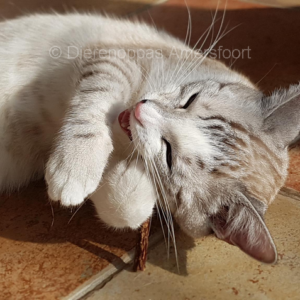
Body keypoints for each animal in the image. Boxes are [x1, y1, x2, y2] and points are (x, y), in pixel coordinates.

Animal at [0, 12, 300, 264]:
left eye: (168, 155)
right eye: (190, 100)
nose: (141, 110)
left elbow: (124, 211)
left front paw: (128, 175)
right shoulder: (114, 58)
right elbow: (94, 102)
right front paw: (76, 165)